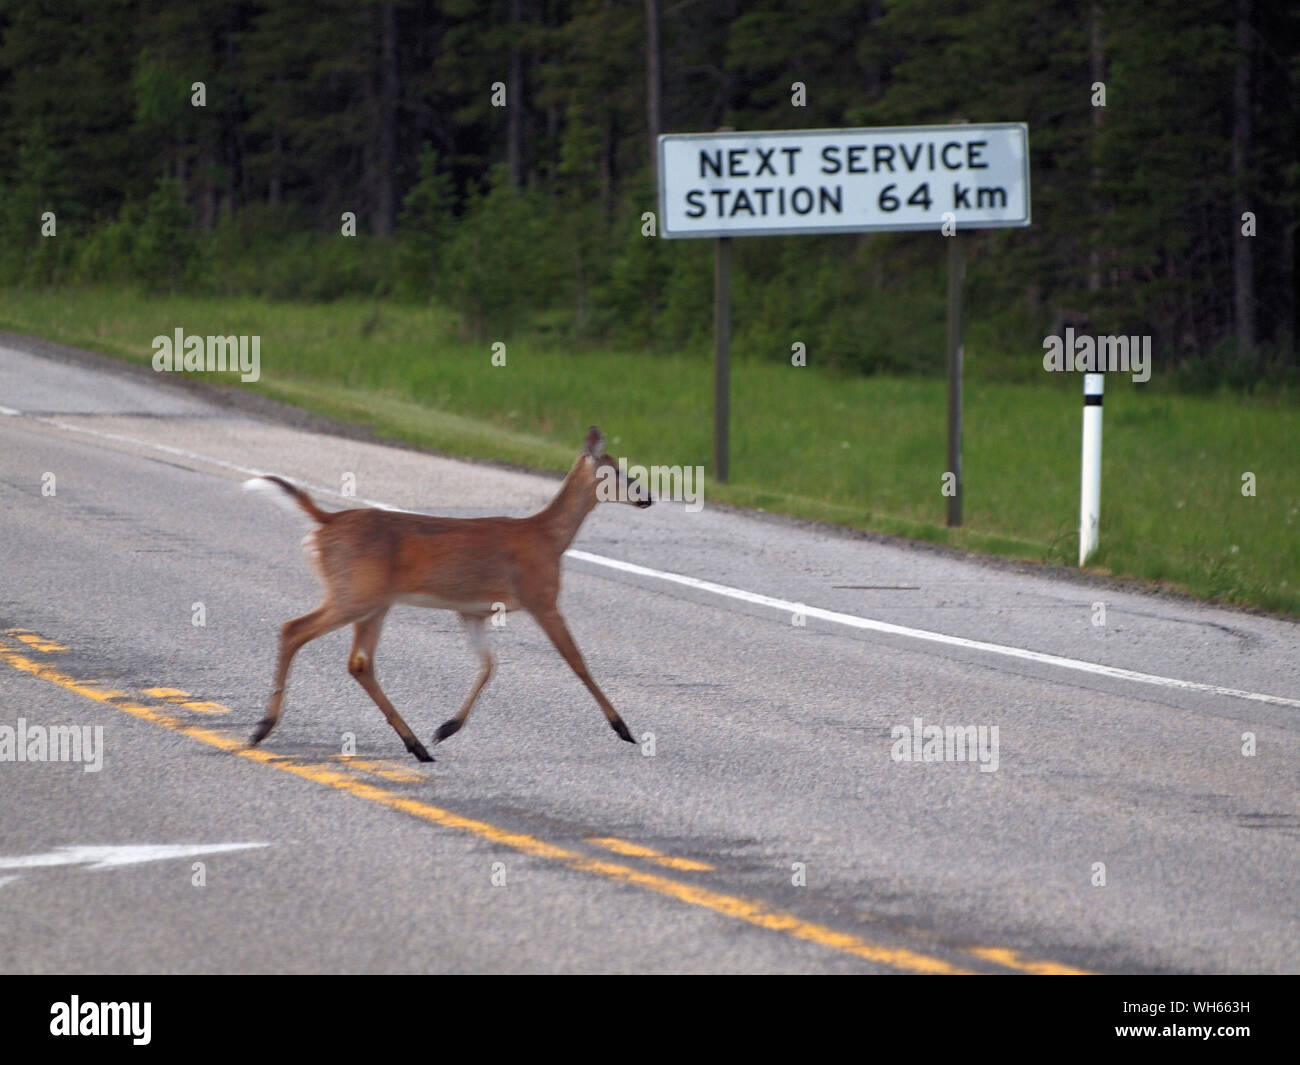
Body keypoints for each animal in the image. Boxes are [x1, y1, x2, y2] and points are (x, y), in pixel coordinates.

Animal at [244, 429, 650, 764]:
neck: (549, 539)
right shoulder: (542, 597)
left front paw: (447, 727)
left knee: (359, 662)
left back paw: (417, 745)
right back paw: (262, 728)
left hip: (373, 601)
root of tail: (324, 521)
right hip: (355, 593)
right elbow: (578, 662)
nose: (647, 497)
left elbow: (488, 665)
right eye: (616, 470)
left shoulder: (473, 611)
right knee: (293, 629)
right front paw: (623, 729)